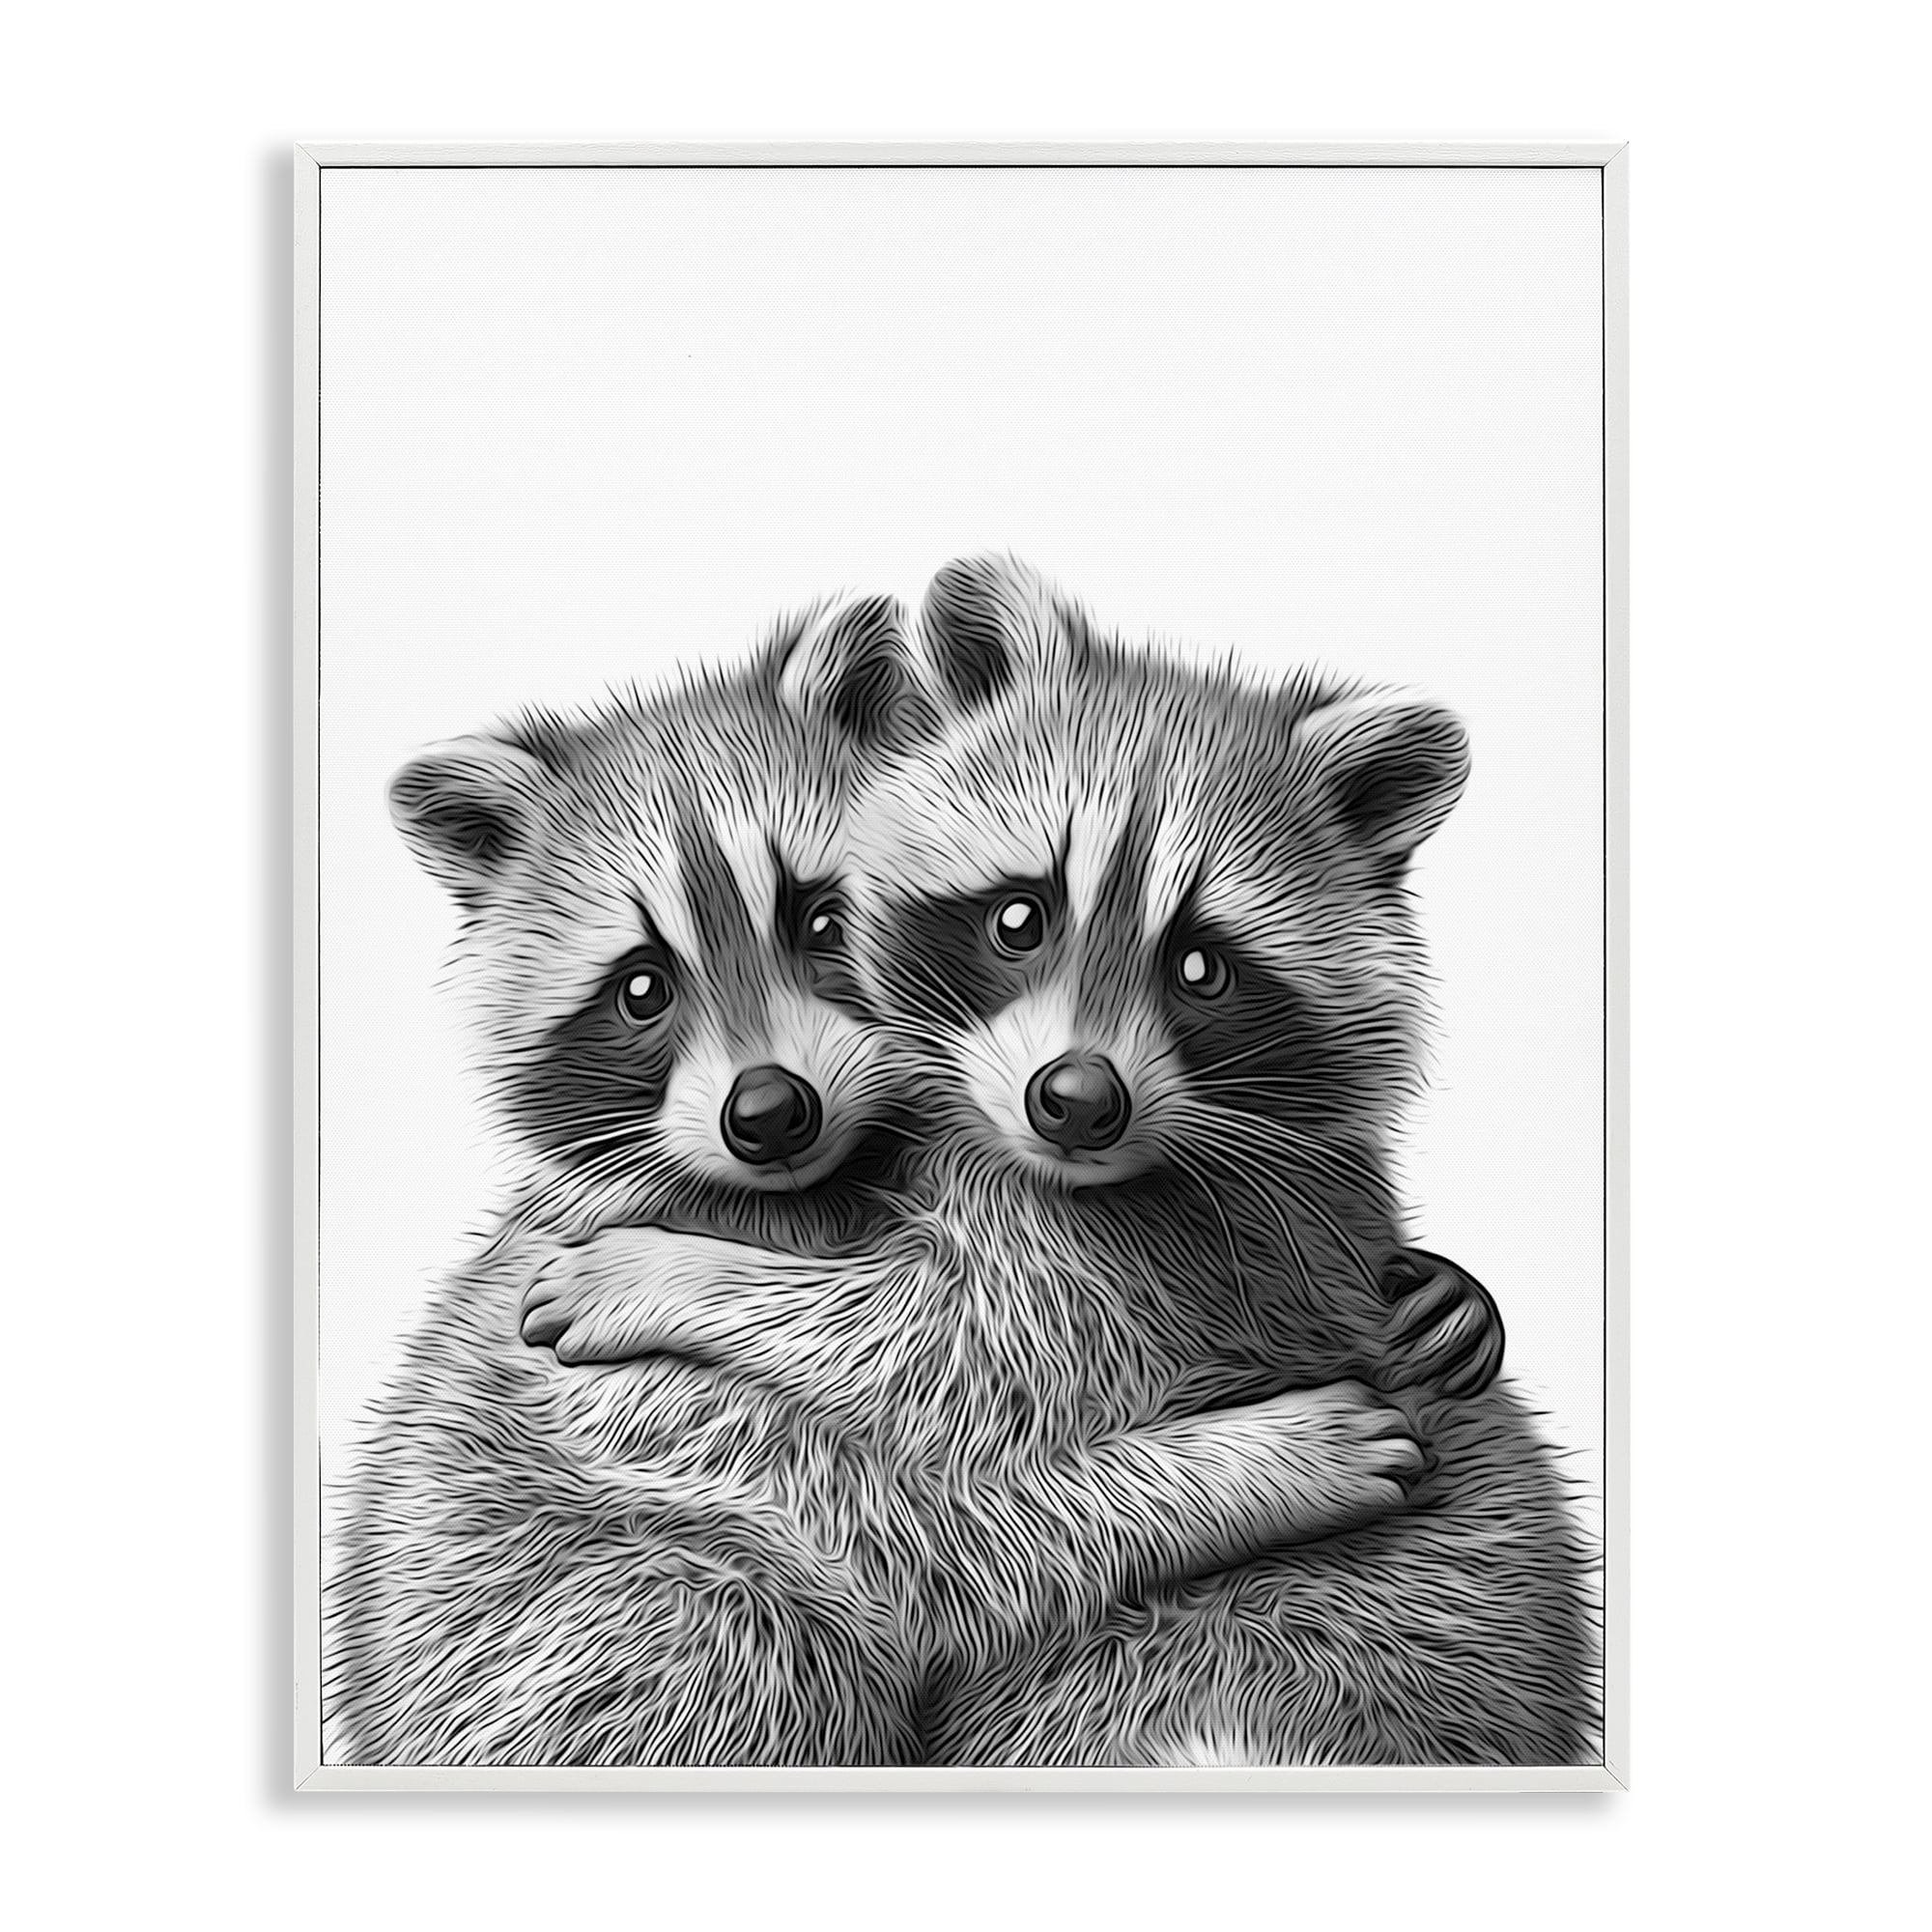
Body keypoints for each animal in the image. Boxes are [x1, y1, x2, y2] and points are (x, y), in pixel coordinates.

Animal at [327, 593, 1431, 1768]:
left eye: (820, 922)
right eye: (641, 988)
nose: (770, 1112)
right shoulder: (629, 1410)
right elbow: (928, 1539)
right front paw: (1248, 1467)